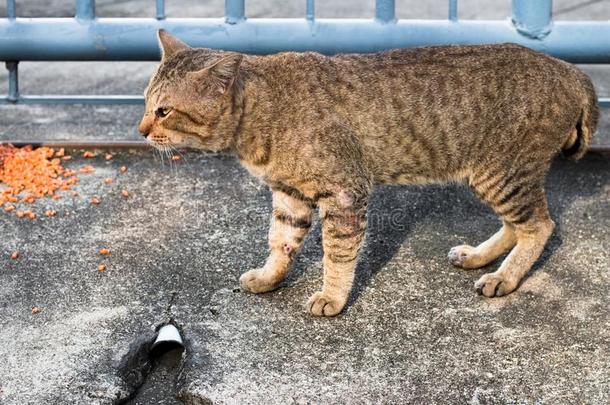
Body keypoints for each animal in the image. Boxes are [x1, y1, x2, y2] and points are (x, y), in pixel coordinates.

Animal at [137, 30, 592, 316]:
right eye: (144, 102)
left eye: (164, 110)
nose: (140, 129)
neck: (261, 115)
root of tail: (570, 69)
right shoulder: (289, 195)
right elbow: (280, 242)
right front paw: (269, 277)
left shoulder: (344, 192)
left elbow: (337, 254)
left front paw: (332, 297)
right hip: (496, 177)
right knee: (518, 225)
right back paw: (481, 256)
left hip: (502, 173)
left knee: (540, 226)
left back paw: (505, 277)